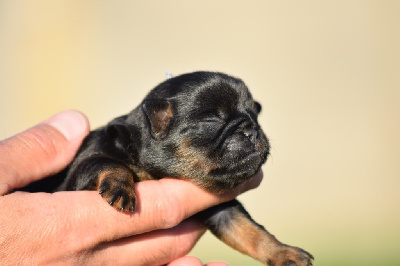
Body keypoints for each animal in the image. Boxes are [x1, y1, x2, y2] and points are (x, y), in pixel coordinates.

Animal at [25, 71, 312, 264]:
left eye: (255, 115)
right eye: (211, 119)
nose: (251, 130)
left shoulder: (223, 210)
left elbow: (250, 231)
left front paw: (283, 252)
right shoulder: (84, 166)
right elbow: (108, 163)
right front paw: (121, 187)